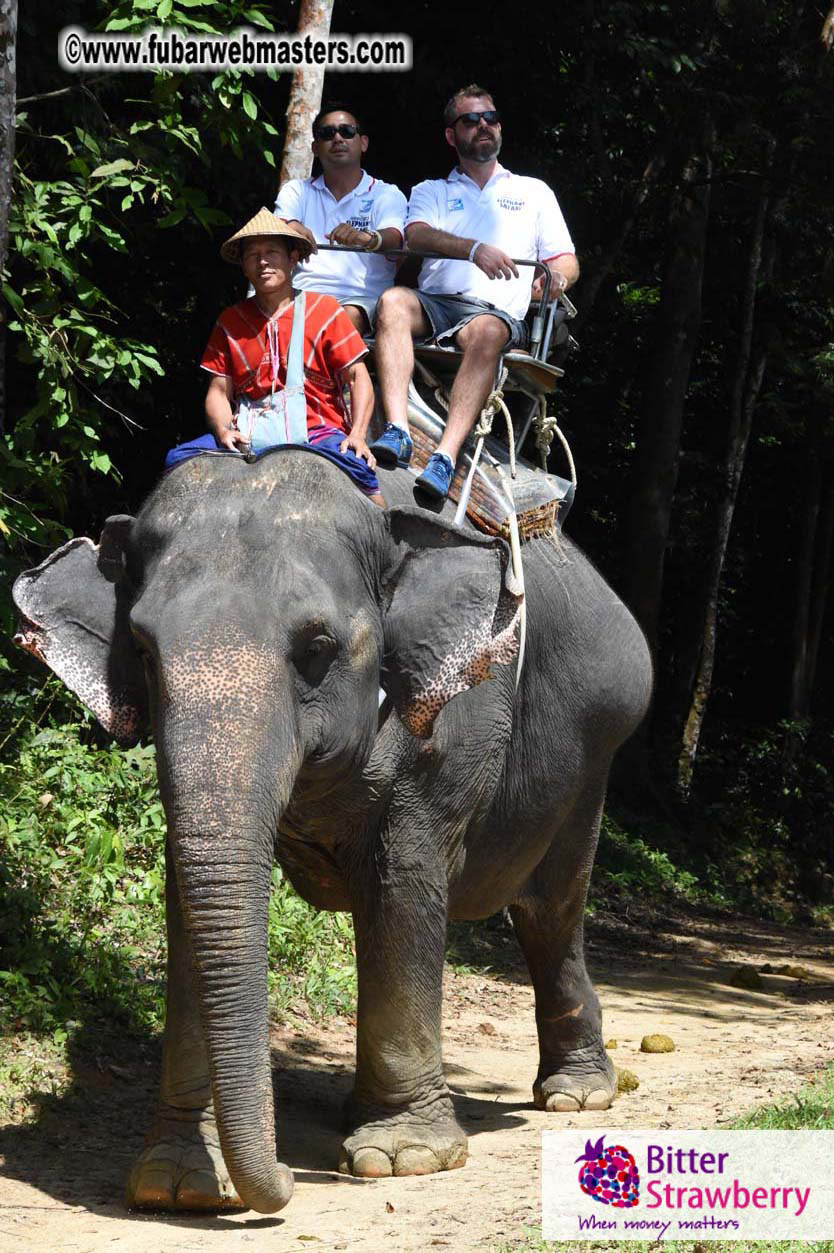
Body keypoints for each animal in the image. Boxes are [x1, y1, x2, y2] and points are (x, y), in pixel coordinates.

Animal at [13, 445, 652, 1215]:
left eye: (317, 646)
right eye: (139, 646)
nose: (288, 1182)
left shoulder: (447, 727)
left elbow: (403, 879)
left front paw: (402, 1158)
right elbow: (188, 895)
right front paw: (179, 1183)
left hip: (593, 754)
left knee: (551, 911)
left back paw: (576, 1096)